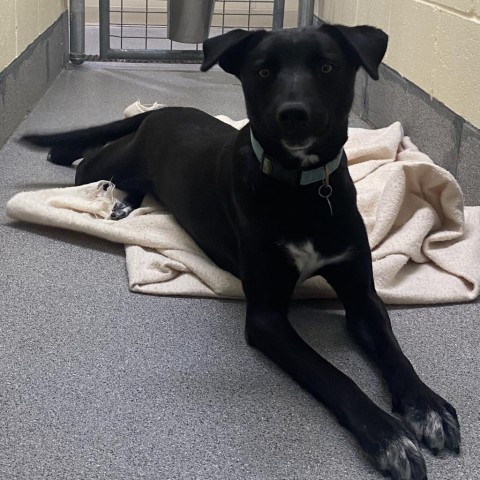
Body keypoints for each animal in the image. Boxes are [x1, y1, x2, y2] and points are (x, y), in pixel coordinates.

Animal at [24, 25, 460, 480]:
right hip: (107, 164)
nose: (293, 113)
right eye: (264, 71)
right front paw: (388, 437)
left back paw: (127, 203)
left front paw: (427, 406)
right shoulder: (267, 318)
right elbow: (333, 375)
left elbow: (395, 354)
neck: (303, 189)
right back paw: (94, 179)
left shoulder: (362, 296)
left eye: (326, 67)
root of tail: (164, 110)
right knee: (84, 161)